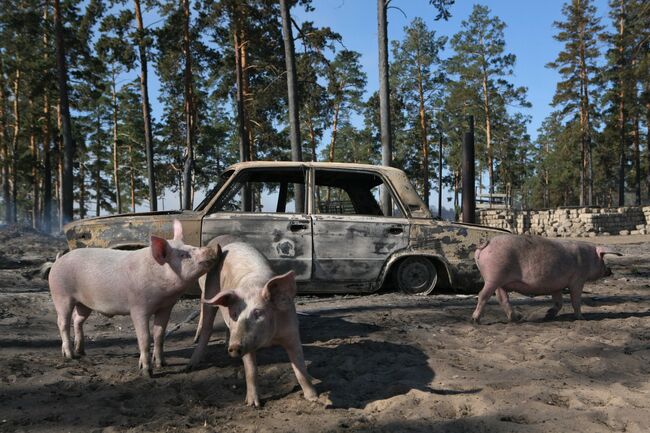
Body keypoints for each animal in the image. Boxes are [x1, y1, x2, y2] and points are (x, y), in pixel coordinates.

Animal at [48, 219, 219, 374]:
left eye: (192, 247)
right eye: (184, 255)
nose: (212, 248)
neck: (162, 291)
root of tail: (58, 260)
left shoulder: (166, 307)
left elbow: (159, 335)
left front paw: (162, 364)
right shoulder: (138, 307)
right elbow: (145, 337)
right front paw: (146, 372)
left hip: (84, 303)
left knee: (77, 320)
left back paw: (81, 352)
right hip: (61, 294)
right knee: (62, 322)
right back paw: (70, 356)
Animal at [186, 238, 318, 406]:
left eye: (258, 312)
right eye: (234, 314)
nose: (234, 347)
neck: (270, 339)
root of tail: (230, 245)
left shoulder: (292, 331)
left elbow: (300, 367)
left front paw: (314, 398)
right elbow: (251, 370)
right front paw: (253, 404)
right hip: (210, 290)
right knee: (207, 328)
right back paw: (191, 366)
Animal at [470, 235, 616, 322]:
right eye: (603, 259)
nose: (610, 271)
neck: (589, 258)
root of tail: (487, 243)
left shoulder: (557, 286)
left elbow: (559, 302)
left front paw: (548, 315)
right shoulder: (578, 280)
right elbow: (576, 301)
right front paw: (582, 318)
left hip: (499, 281)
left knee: (502, 298)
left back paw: (517, 318)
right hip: (494, 277)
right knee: (482, 295)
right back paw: (475, 319)